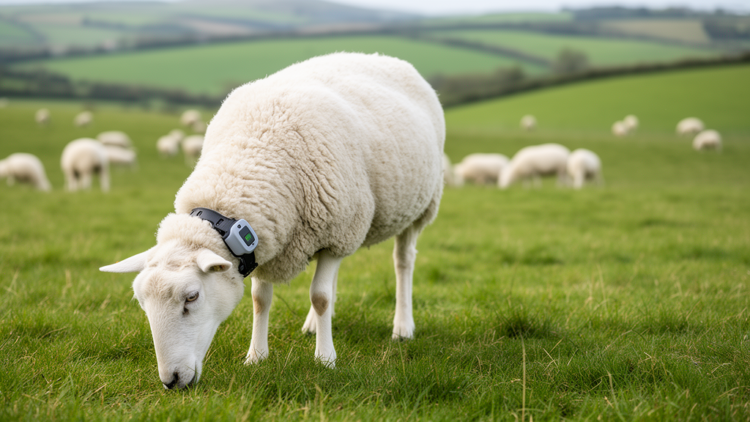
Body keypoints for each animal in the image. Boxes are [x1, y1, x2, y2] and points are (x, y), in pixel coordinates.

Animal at [100, 52, 445, 389]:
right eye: (142, 303)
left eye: (192, 297)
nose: (170, 381)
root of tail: (384, 56)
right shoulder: (265, 240)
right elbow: (260, 300)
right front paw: (256, 357)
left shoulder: (335, 234)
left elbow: (320, 297)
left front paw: (325, 359)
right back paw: (313, 325)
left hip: (419, 208)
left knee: (402, 261)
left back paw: (402, 327)